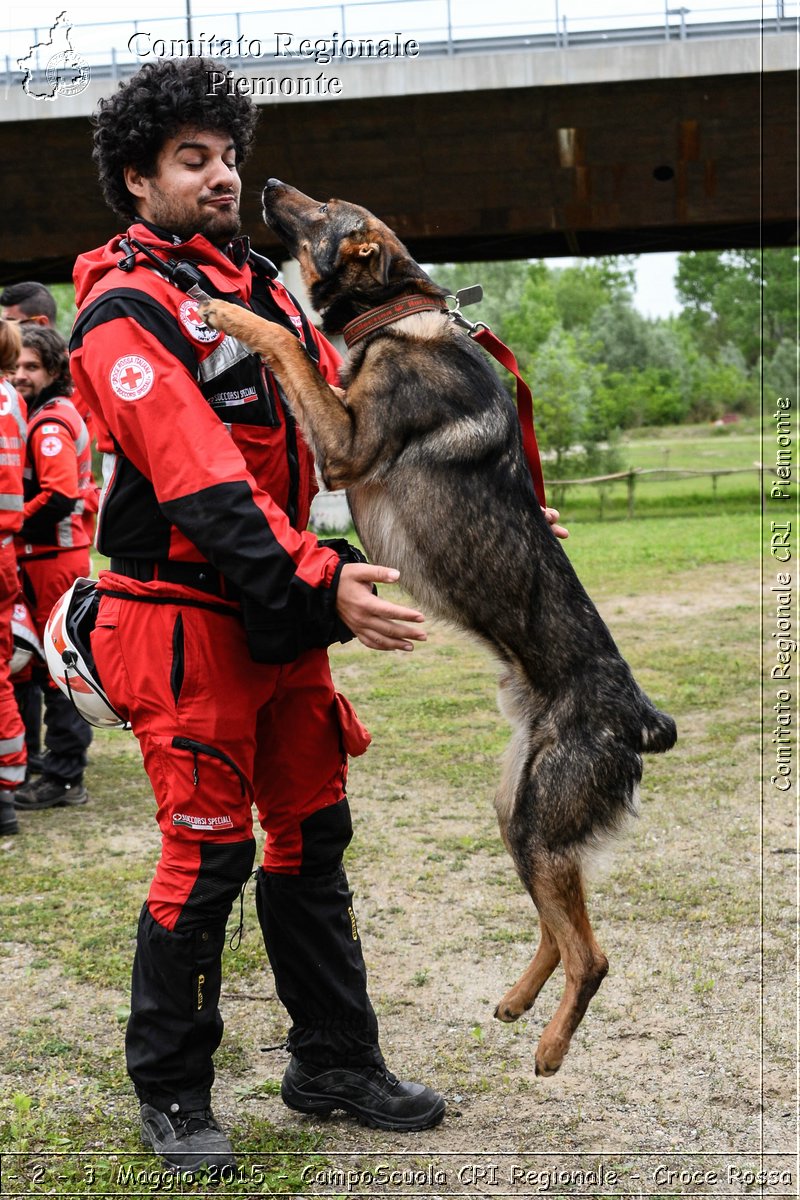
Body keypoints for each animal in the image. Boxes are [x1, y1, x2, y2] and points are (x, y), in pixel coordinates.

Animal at [199, 180, 676, 1080]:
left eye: (327, 210)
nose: (268, 186)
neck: (395, 317)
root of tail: (639, 716)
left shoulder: (345, 445)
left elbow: (286, 342)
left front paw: (229, 310)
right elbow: (298, 347)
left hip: (538, 823)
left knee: (592, 955)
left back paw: (551, 1047)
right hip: (514, 813)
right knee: (560, 931)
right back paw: (520, 1002)